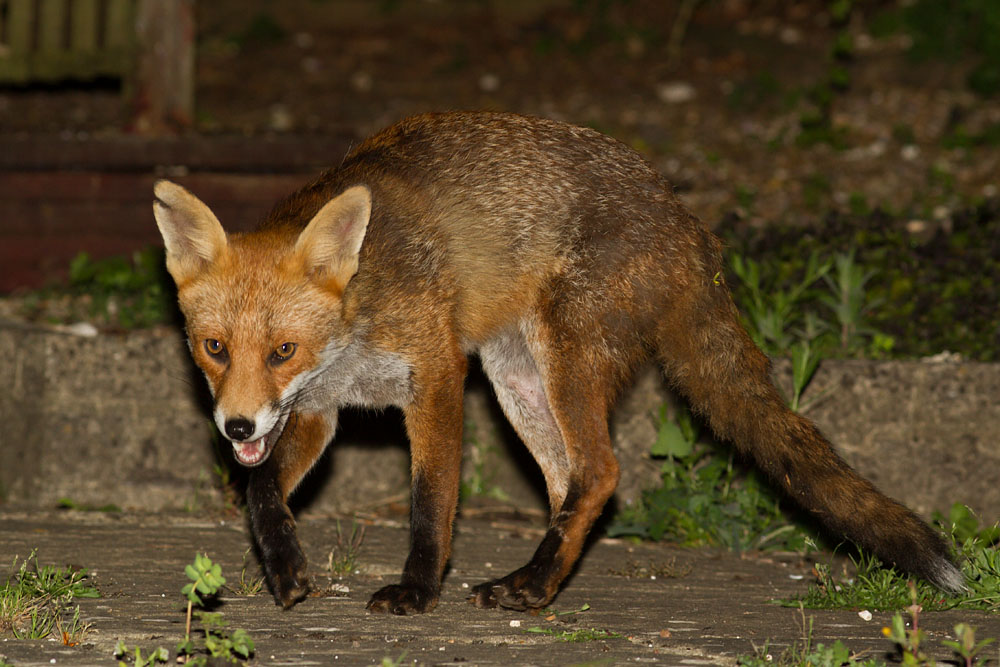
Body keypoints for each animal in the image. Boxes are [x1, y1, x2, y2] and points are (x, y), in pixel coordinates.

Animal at [153, 111, 963, 615]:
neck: (351, 329)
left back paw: (534, 584)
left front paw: (418, 590)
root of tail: (690, 223)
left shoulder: (436, 378)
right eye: (215, 347)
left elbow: (430, 501)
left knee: (600, 472)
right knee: (571, 483)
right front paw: (286, 566)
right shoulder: (316, 411)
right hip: (519, 380)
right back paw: (538, 585)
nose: (235, 425)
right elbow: (262, 493)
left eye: (282, 349)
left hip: (563, 355)